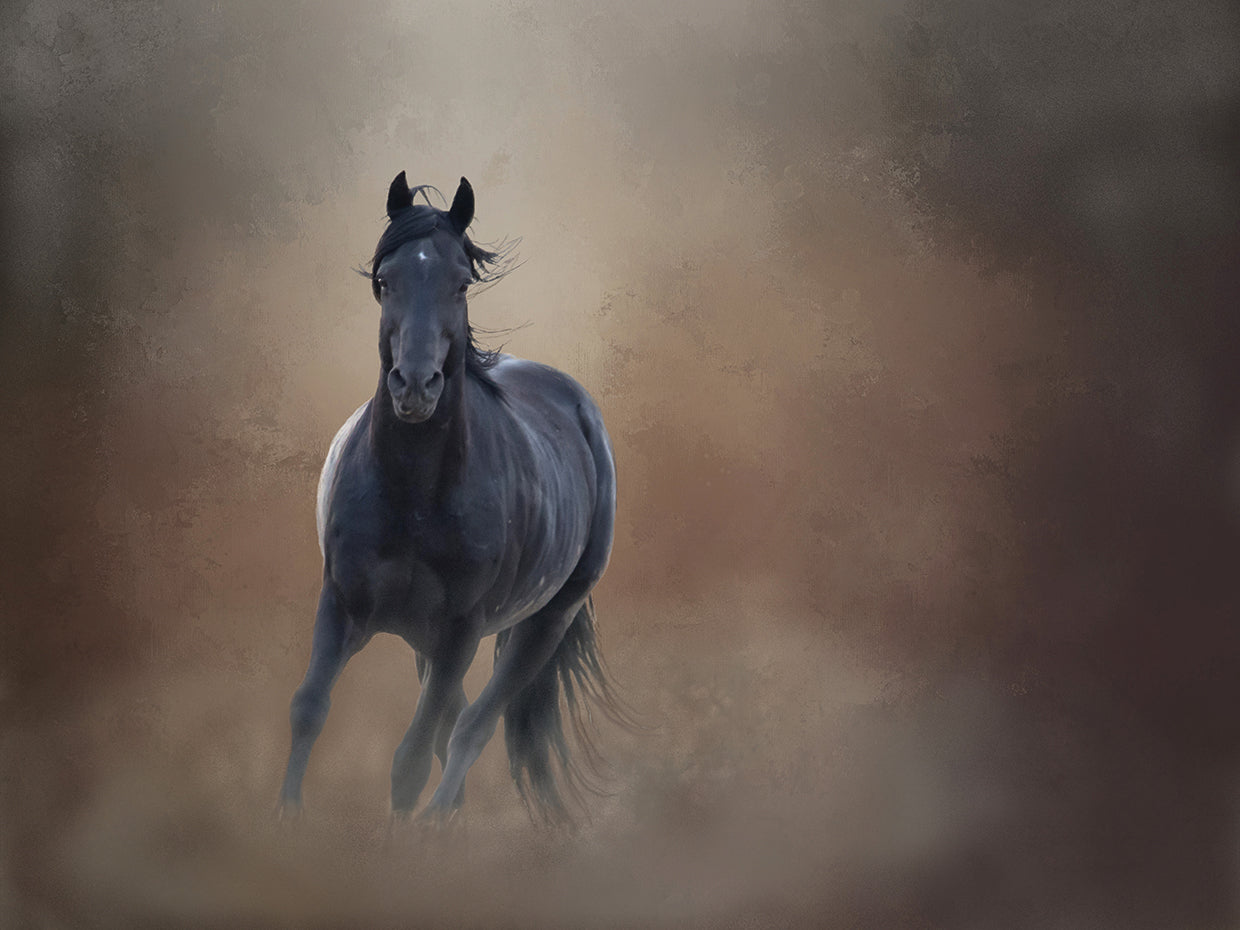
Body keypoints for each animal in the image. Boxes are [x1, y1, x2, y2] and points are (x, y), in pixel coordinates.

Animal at [278, 172, 624, 824]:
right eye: (384, 281)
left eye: (461, 283)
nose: (415, 386)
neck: (412, 496)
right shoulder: (341, 604)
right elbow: (310, 708)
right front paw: (283, 821)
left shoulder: (462, 629)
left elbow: (413, 759)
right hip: (425, 638)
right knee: (454, 723)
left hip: (543, 621)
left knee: (471, 726)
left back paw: (440, 825)